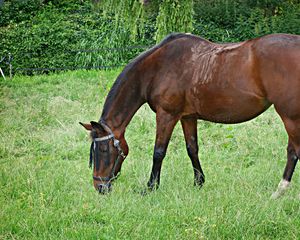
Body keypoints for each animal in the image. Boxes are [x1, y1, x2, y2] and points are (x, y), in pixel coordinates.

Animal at [80, 32, 300, 197]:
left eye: (104, 150)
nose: (100, 187)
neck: (157, 68)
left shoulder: (167, 115)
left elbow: (159, 152)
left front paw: (151, 187)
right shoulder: (188, 117)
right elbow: (192, 148)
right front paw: (199, 182)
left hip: (290, 116)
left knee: (293, 151)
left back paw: (279, 191)